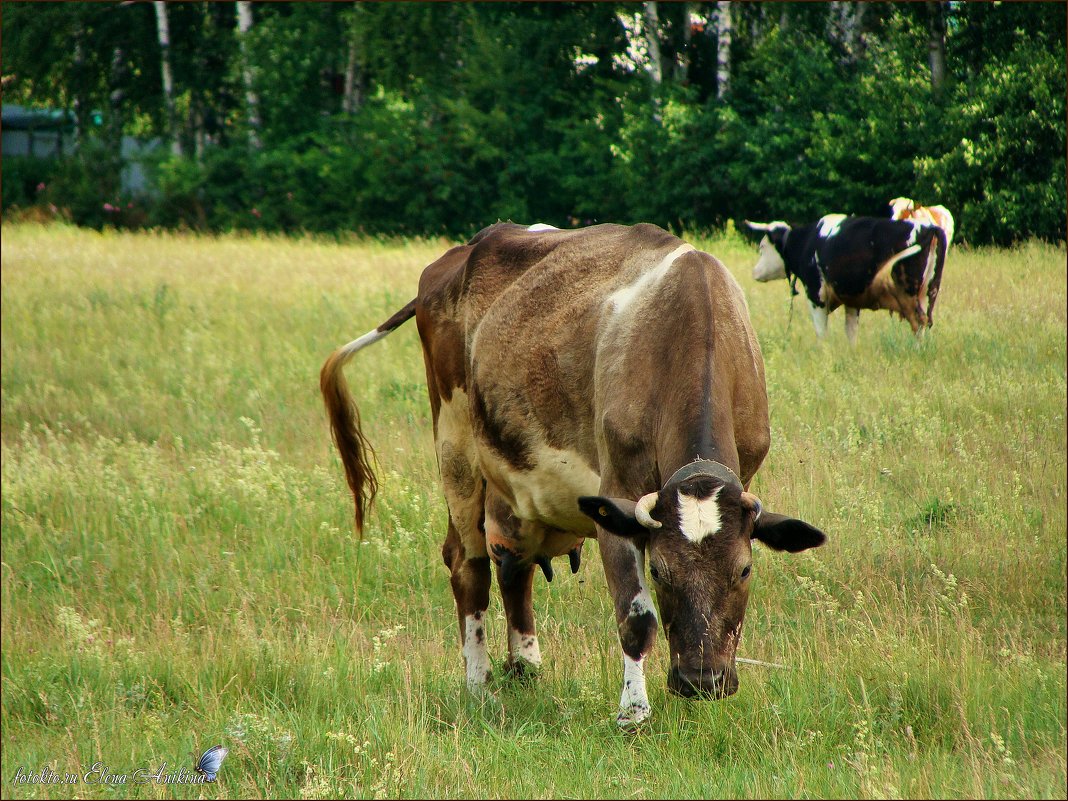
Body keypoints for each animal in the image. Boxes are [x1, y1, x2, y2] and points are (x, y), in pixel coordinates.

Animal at [316, 223, 824, 730]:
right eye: (659, 571)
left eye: (745, 569)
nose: (701, 680)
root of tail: (468, 249)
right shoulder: (617, 499)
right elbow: (636, 617)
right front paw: (633, 712)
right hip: (455, 445)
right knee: (468, 566)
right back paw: (480, 687)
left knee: (512, 565)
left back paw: (525, 667)